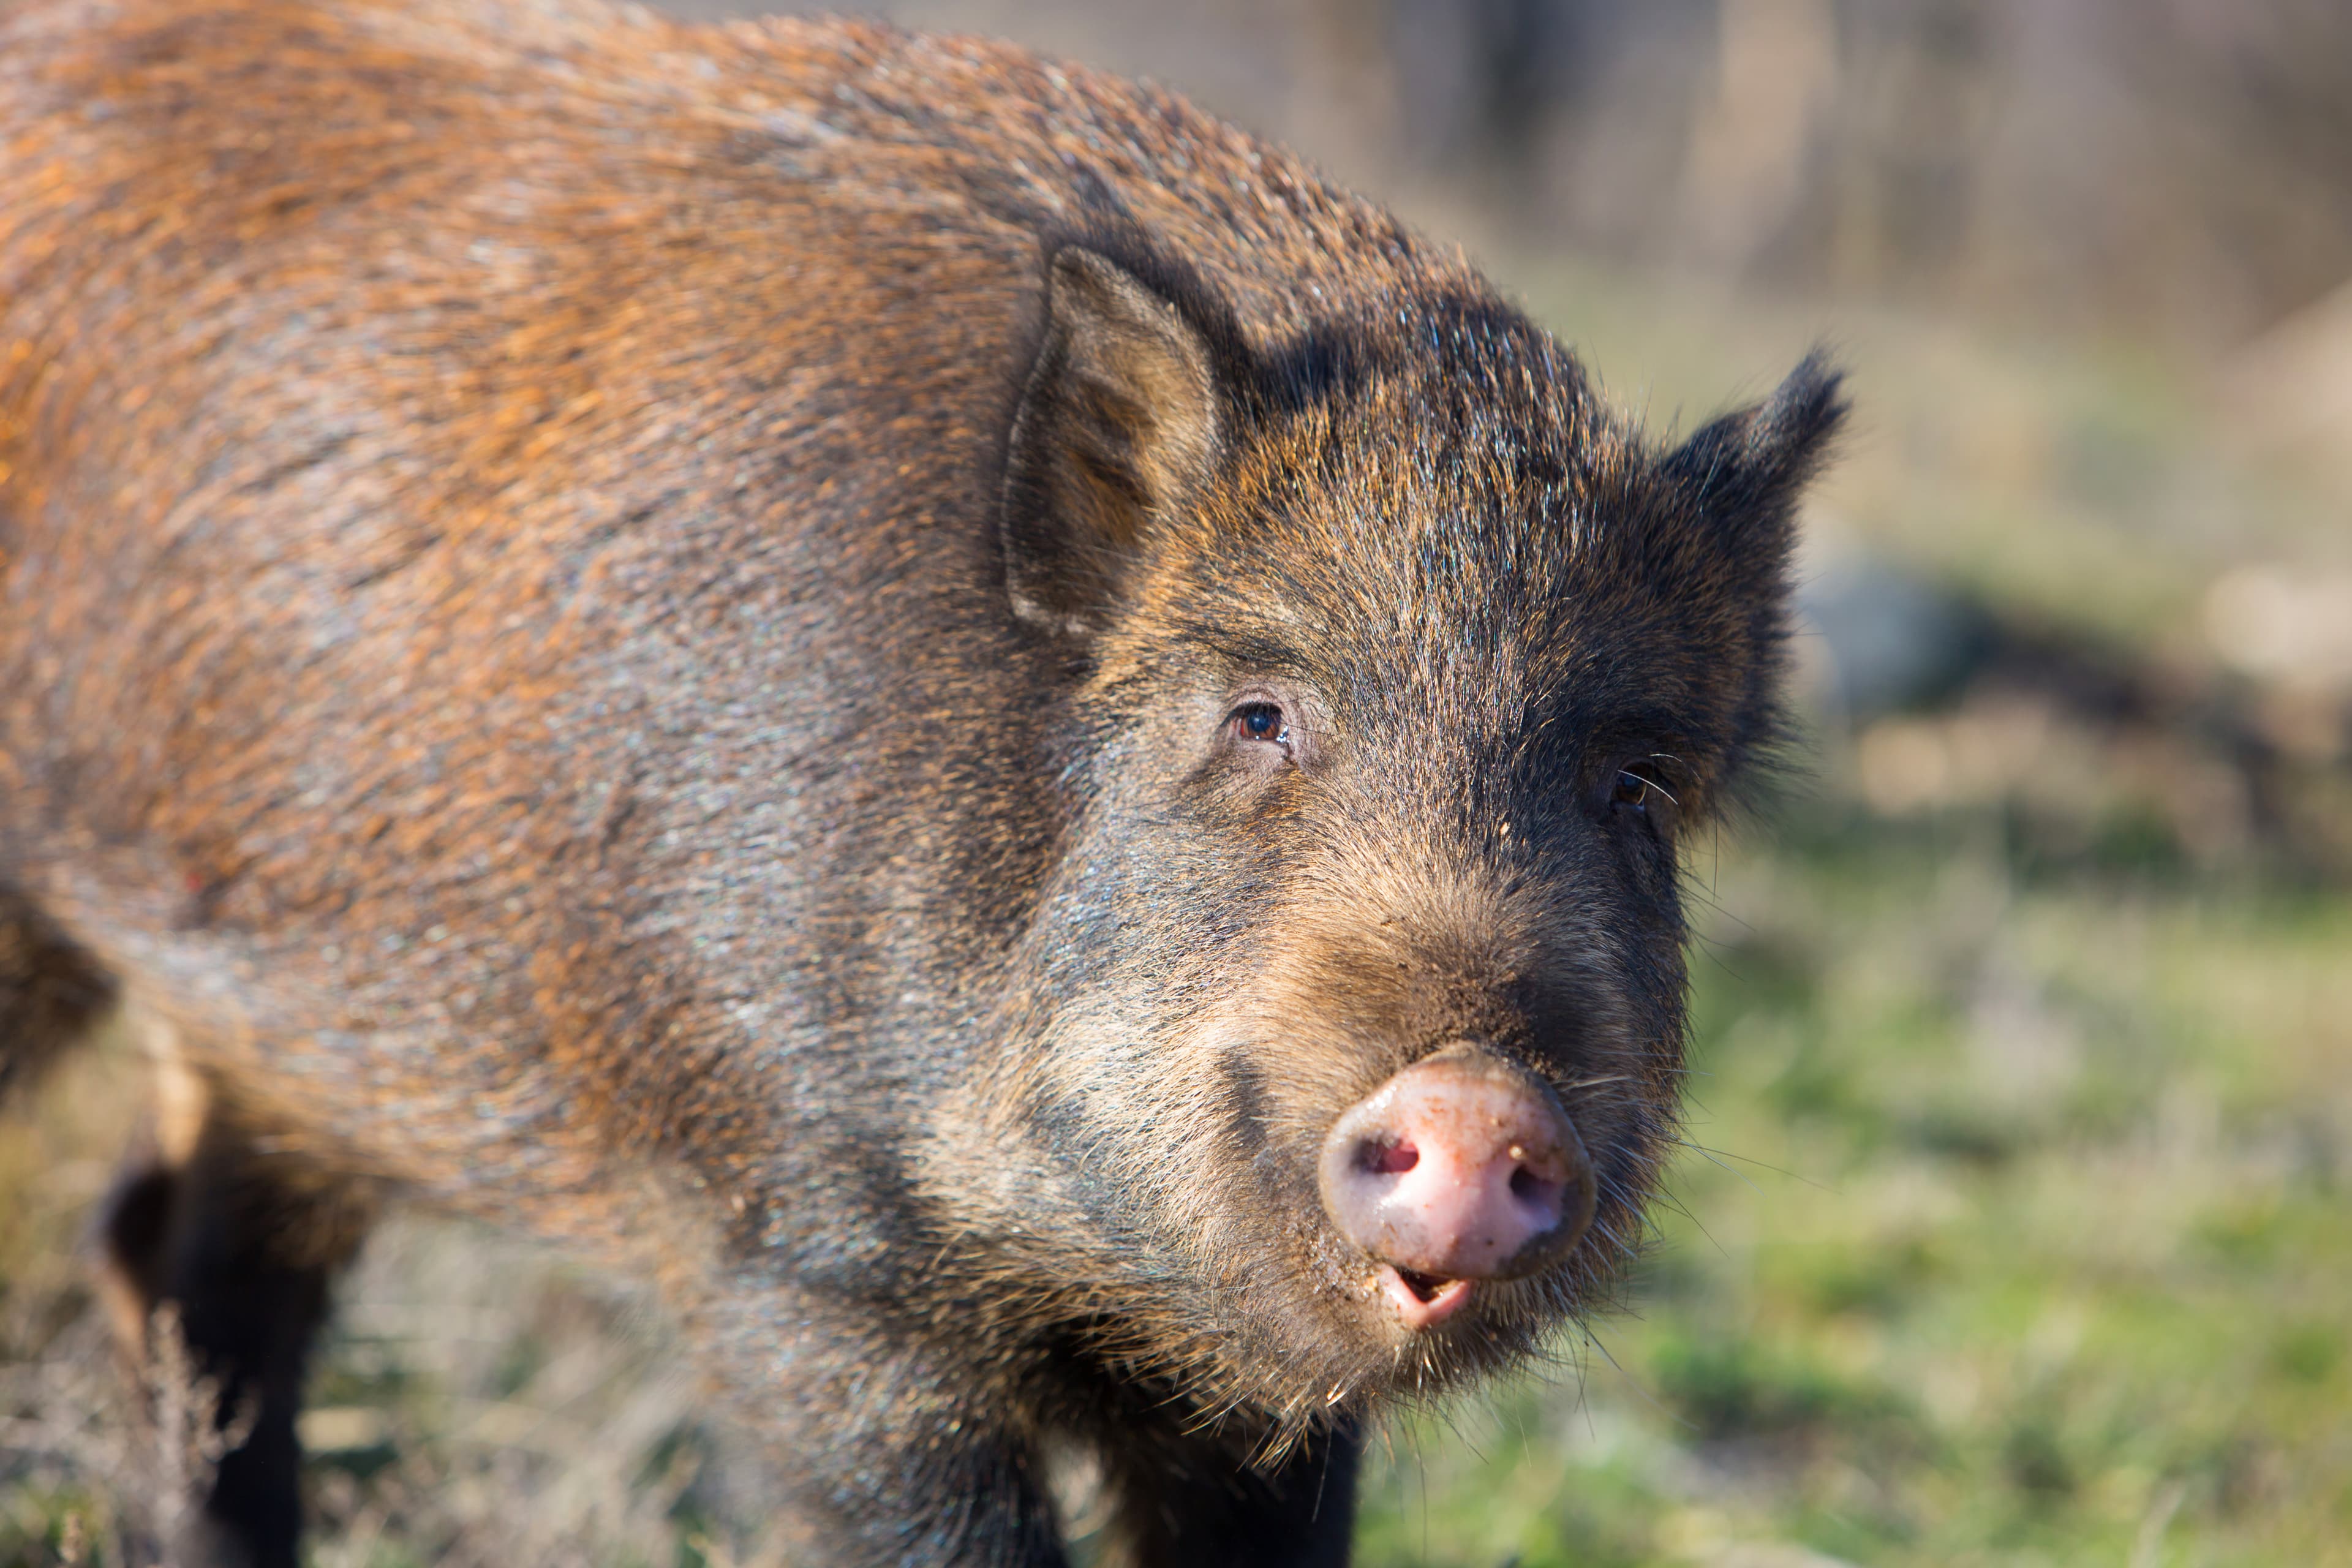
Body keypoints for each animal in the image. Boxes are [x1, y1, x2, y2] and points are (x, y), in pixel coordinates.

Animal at [0, 0, 1845, 1562]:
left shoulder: (1248, 1401)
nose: (1477, 1099)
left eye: (1635, 785)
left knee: (176, 1258)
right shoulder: (795, 1252)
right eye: (1259, 713)